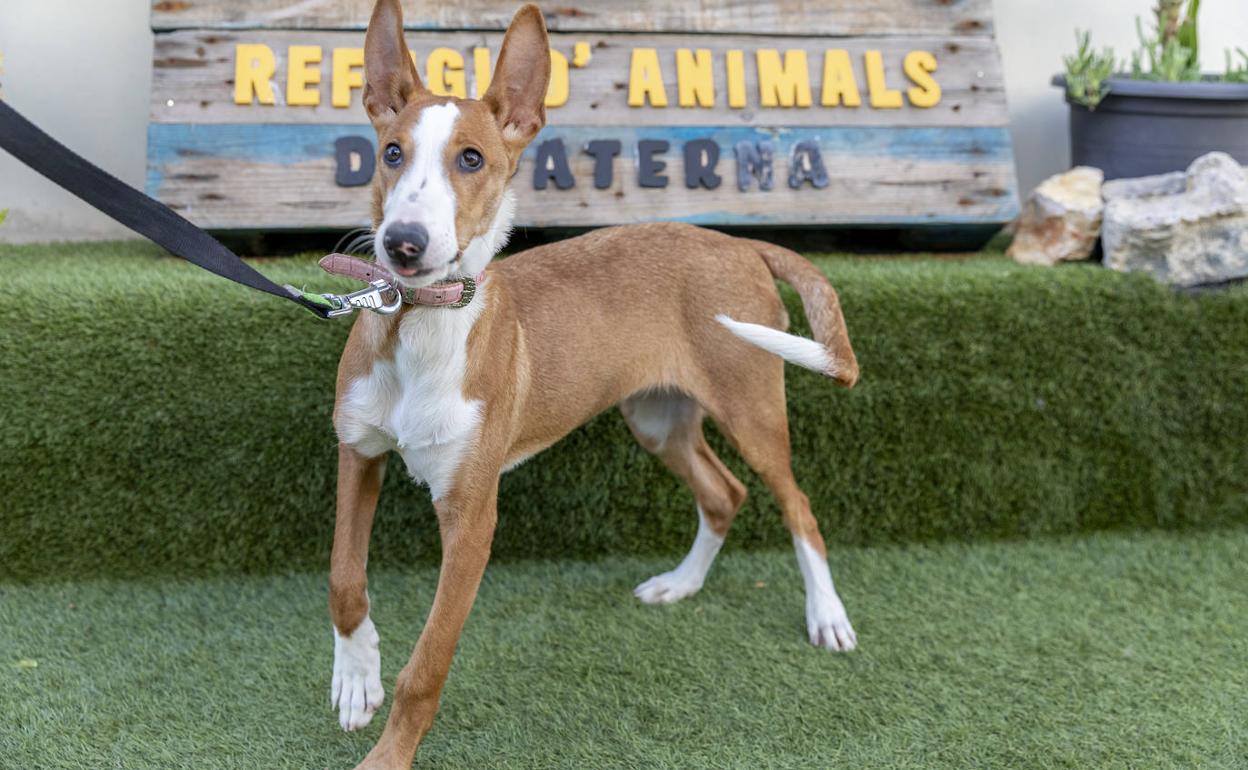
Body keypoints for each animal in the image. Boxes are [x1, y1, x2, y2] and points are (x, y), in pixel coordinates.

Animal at [326, 3, 863, 763]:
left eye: (472, 159)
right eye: (392, 153)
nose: (402, 243)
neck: (417, 327)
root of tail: (738, 243)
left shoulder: (471, 516)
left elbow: (426, 667)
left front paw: (387, 756)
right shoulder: (358, 452)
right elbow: (345, 578)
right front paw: (355, 680)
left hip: (752, 410)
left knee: (798, 505)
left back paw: (827, 616)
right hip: (657, 419)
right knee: (723, 494)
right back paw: (680, 584)